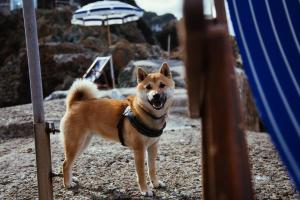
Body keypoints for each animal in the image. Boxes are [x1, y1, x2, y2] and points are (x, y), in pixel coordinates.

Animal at [60, 63, 175, 197]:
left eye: (162, 85)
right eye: (148, 87)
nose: (155, 95)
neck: (147, 114)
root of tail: (75, 103)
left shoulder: (153, 146)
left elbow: (152, 168)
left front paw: (155, 184)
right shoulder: (139, 149)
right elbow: (141, 173)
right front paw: (145, 190)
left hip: (83, 144)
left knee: (69, 163)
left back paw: (71, 179)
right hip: (75, 144)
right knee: (65, 163)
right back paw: (67, 183)